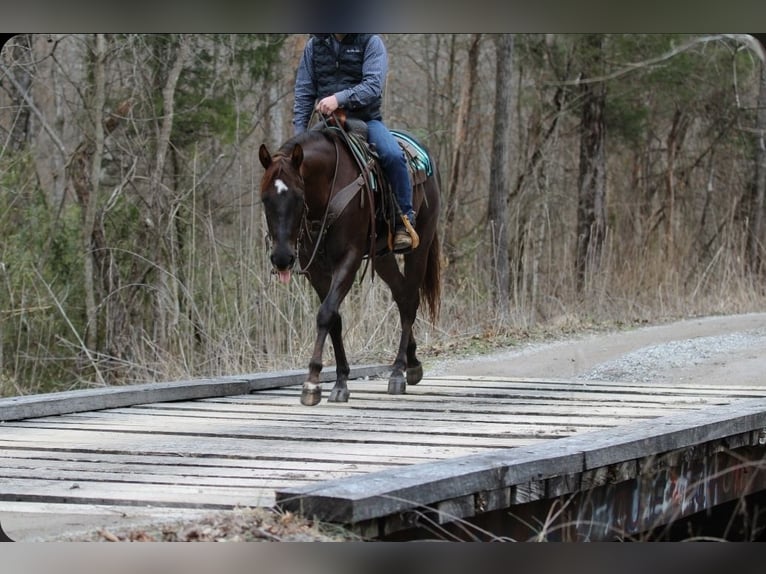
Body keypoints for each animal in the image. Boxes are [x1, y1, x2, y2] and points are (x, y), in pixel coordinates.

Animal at [258, 124, 441, 406]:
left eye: (298, 197)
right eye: (265, 199)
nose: (281, 258)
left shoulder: (349, 259)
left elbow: (325, 314)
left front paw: (312, 382)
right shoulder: (316, 270)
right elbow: (334, 318)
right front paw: (341, 381)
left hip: (420, 244)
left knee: (410, 299)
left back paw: (398, 371)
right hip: (383, 256)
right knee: (401, 295)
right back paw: (412, 362)